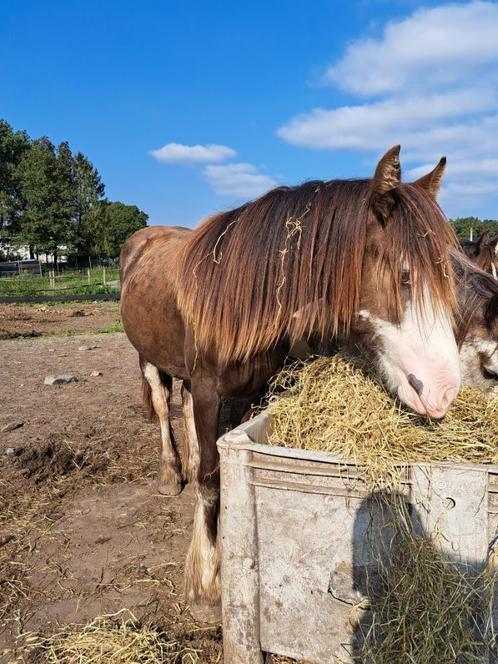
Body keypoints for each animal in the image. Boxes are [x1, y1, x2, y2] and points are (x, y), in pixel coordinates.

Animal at [120, 147, 462, 624]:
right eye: (405, 276)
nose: (444, 391)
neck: (237, 294)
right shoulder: (209, 391)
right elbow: (210, 482)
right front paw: (207, 585)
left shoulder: (249, 393)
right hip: (149, 358)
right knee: (161, 401)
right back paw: (172, 473)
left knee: (181, 406)